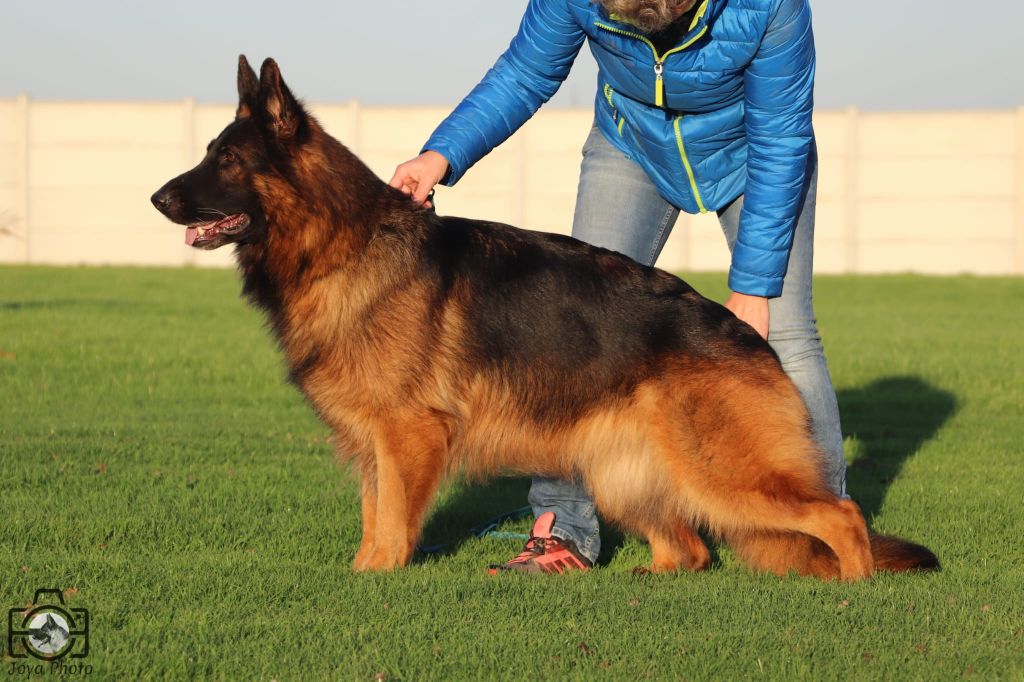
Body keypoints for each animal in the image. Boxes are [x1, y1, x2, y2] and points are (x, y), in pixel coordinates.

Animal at [148, 57, 937, 577]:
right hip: (622, 473)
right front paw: (360, 572)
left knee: (840, 517)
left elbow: (395, 526)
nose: (157, 198)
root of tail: (749, 337)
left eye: (227, 160)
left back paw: (854, 589)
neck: (342, 242)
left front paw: (376, 582)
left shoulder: (407, 436)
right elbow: (376, 519)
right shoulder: (375, 443)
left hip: (722, 474)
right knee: (690, 549)